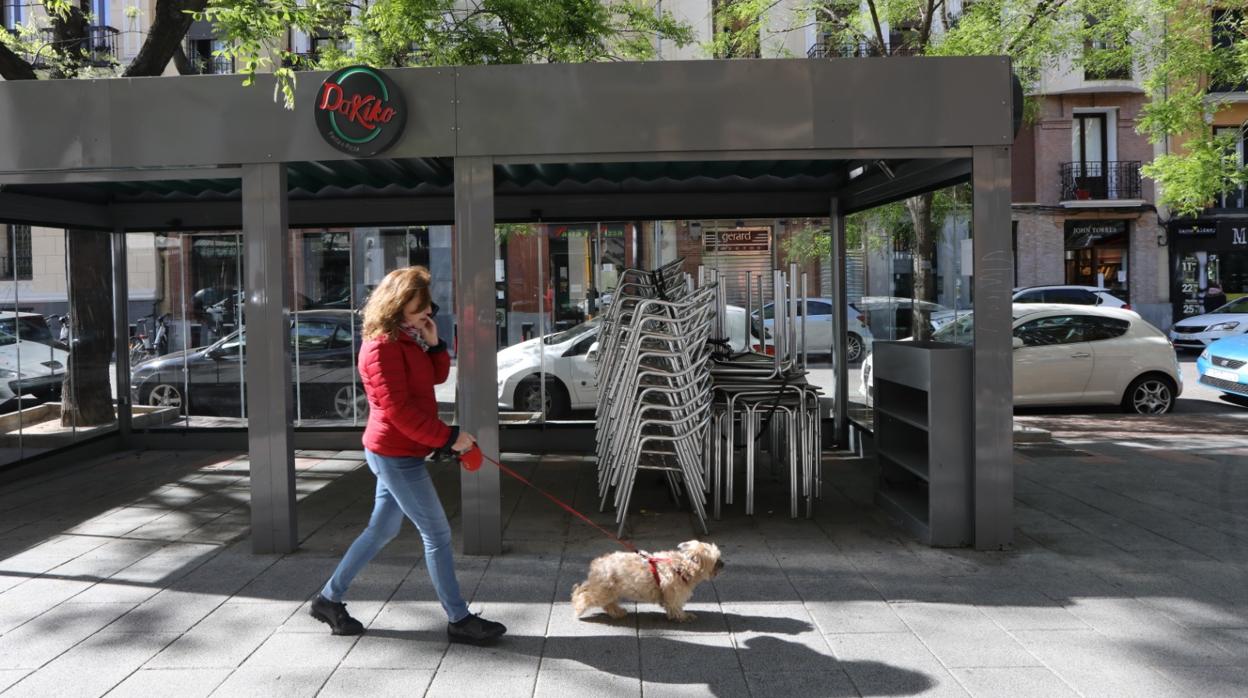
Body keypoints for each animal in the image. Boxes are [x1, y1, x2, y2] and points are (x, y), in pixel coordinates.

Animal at [569, 541, 723, 621]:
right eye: (716, 561)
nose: (723, 564)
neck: (681, 567)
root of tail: (598, 563)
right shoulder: (674, 595)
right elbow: (676, 607)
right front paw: (684, 616)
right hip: (604, 592)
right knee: (584, 595)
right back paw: (578, 608)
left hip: (609, 591)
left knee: (606, 603)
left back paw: (618, 612)